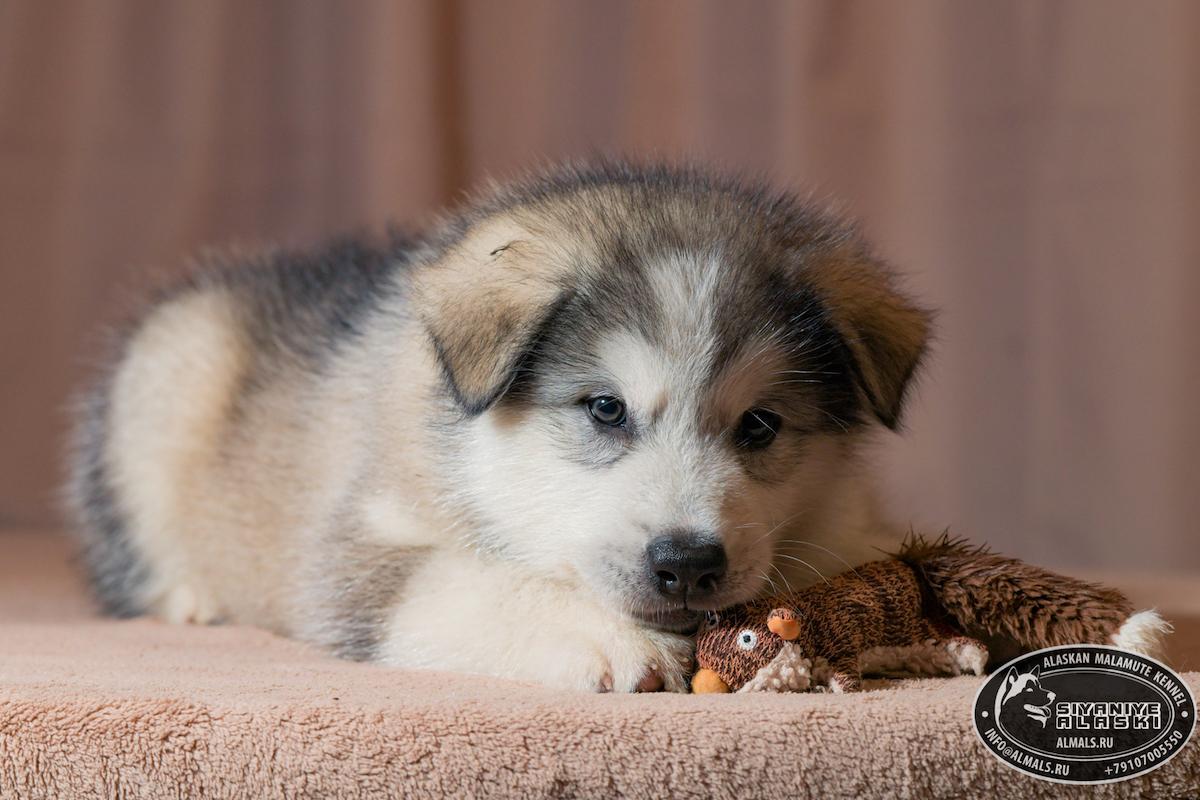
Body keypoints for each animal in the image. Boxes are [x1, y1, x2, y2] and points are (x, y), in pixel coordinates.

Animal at [65, 159, 931, 690]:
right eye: (605, 408)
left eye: (759, 424)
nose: (687, 563)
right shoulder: (358, 551)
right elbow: (473, 582)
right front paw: (605, 636)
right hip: (167, 372)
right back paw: (189, 597)